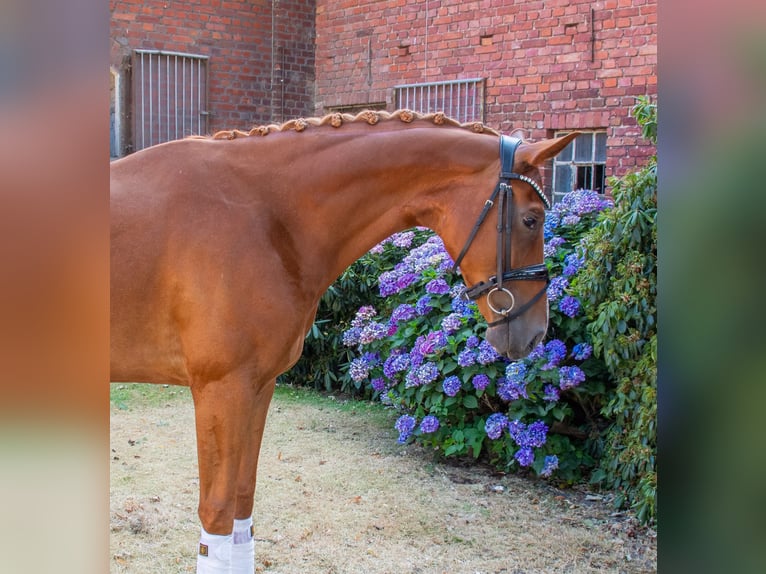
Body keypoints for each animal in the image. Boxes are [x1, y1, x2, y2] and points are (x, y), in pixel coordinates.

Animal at [110, 109, 576, 573]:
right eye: (532, 218)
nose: (535, 332)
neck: (263, 215)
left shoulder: (258, 387)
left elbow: (243, 504)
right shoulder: (222, 390)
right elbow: (218, 513)